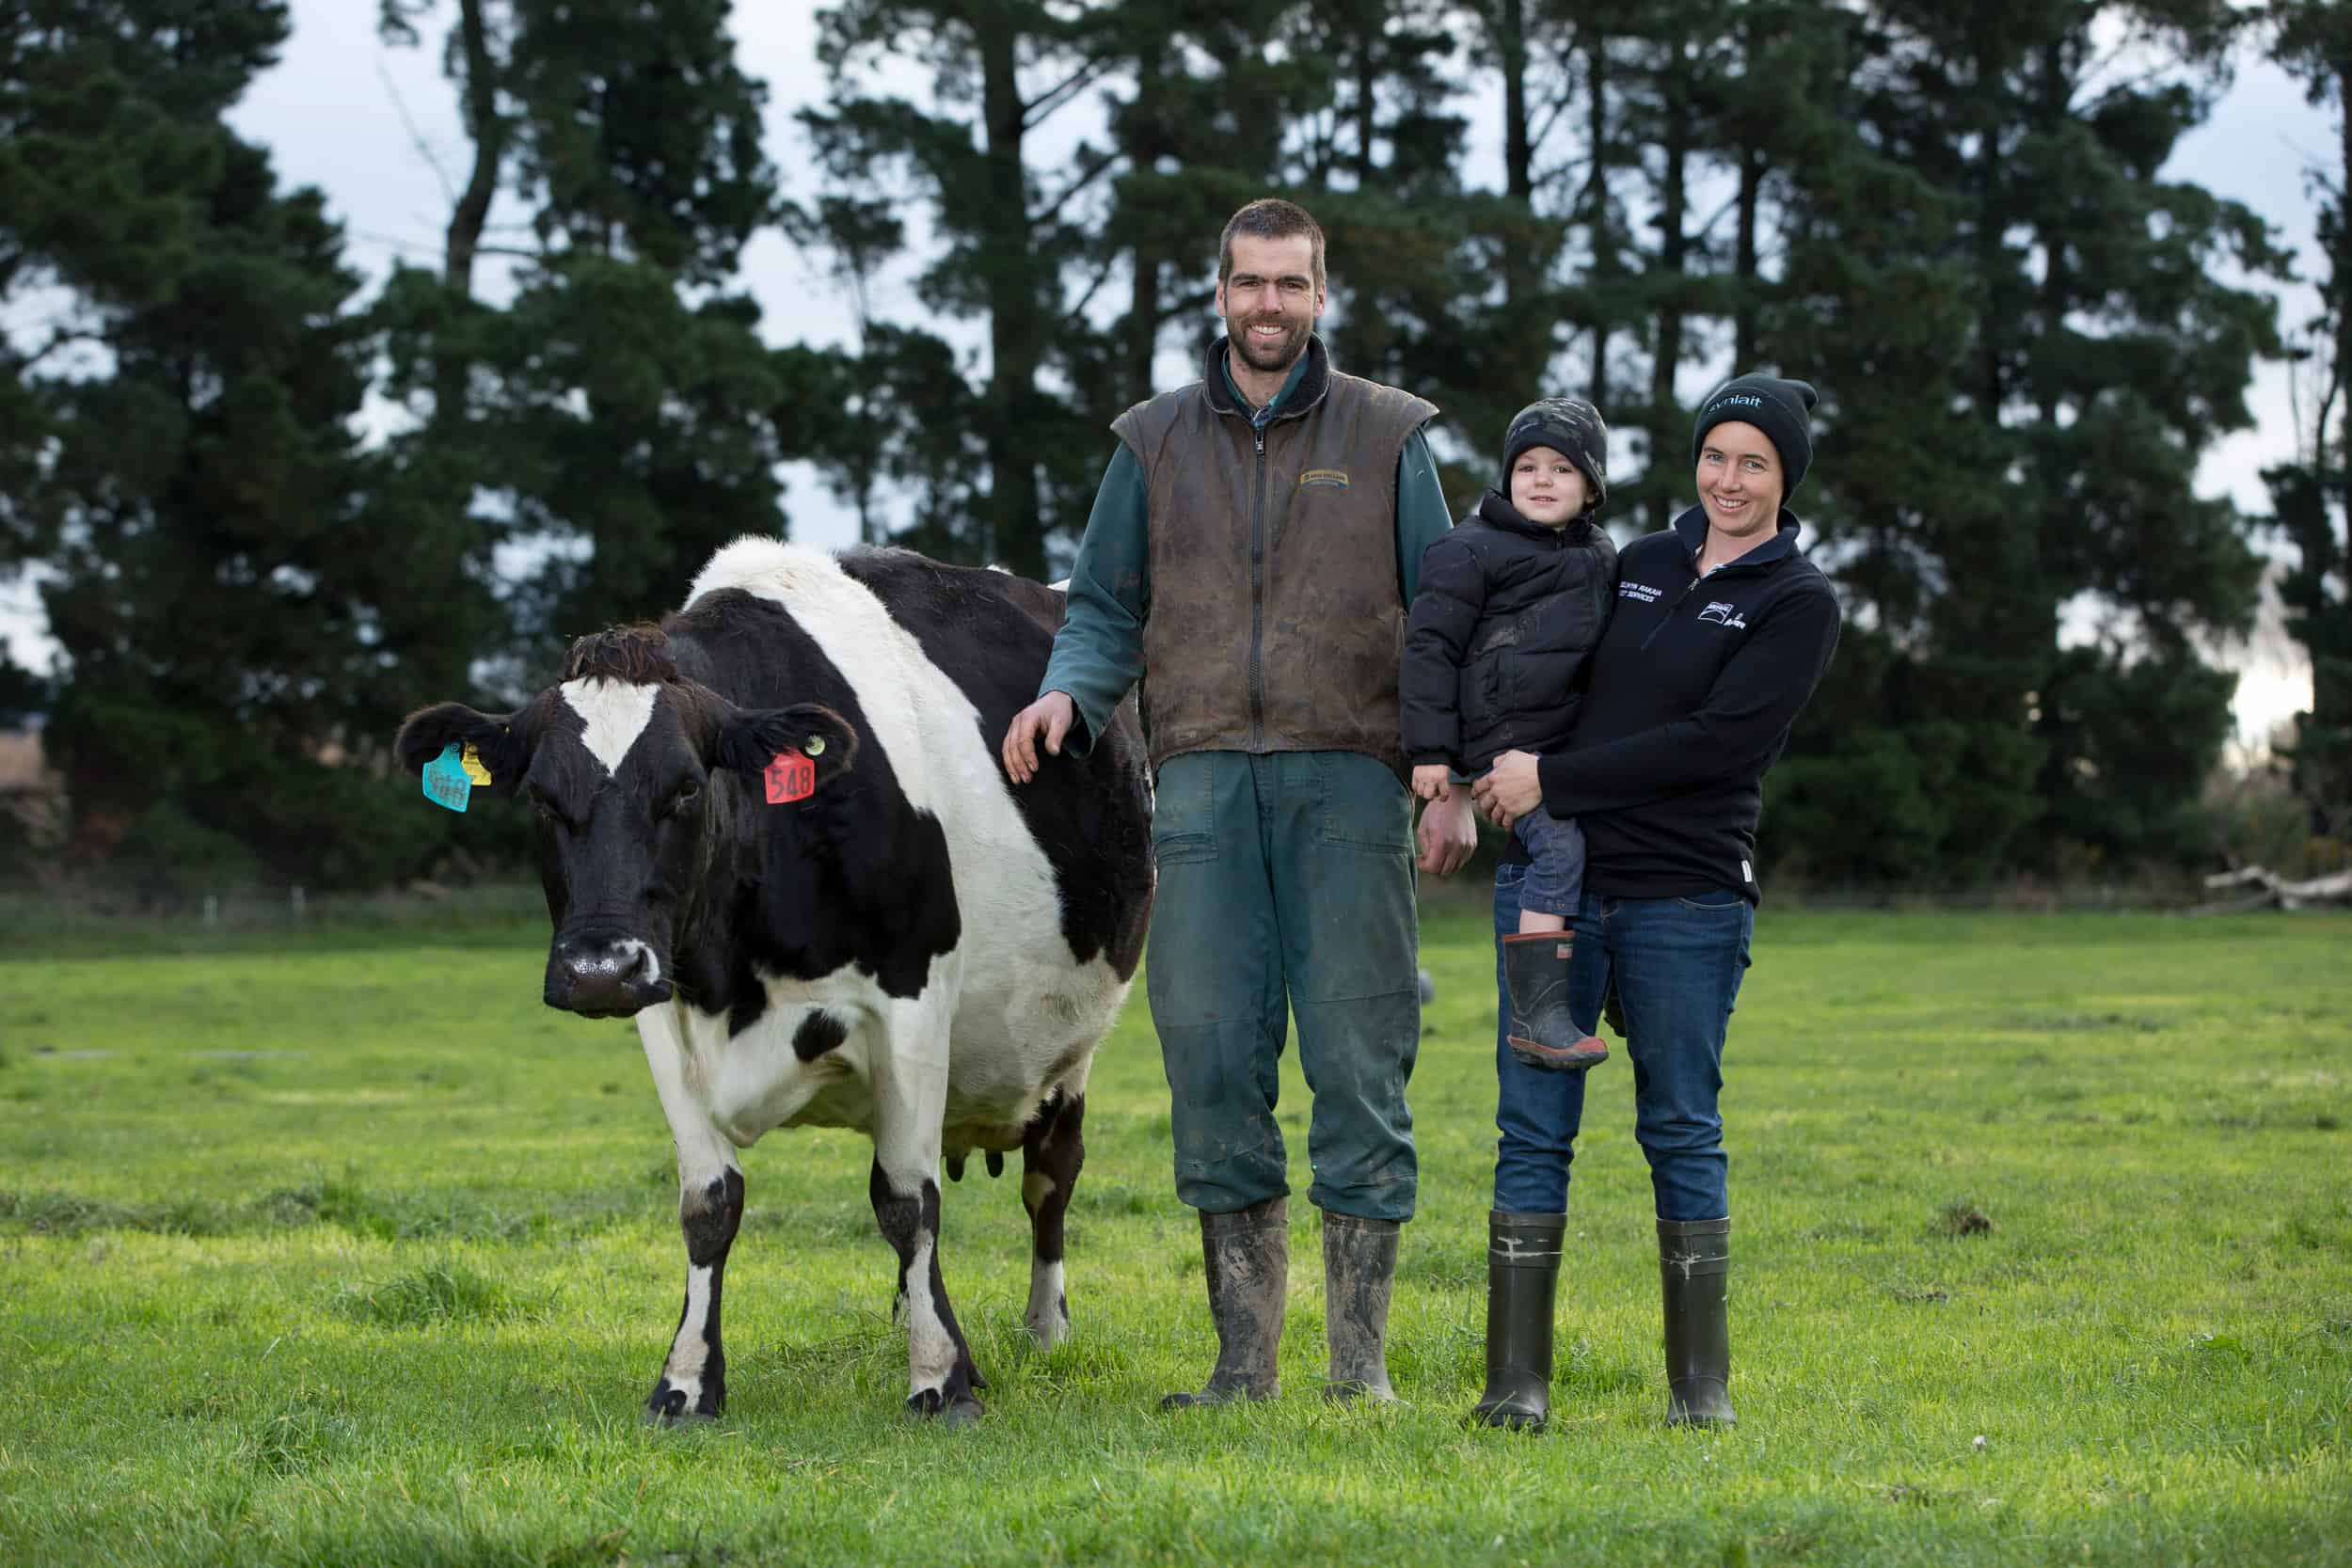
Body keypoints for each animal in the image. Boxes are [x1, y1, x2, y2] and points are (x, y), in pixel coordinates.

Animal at [400, 540, 1152, 1419]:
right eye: (543, 799)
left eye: (687, 787)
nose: (599, 967)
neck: (739, 973)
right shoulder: (664, 1008)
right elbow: (709, 1203)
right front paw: (686, 1381)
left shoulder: (914, 999)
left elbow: (910, 1200)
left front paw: (940, 1376)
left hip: (1072, 1049)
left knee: (1049, 1178)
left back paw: (1044, 1327)